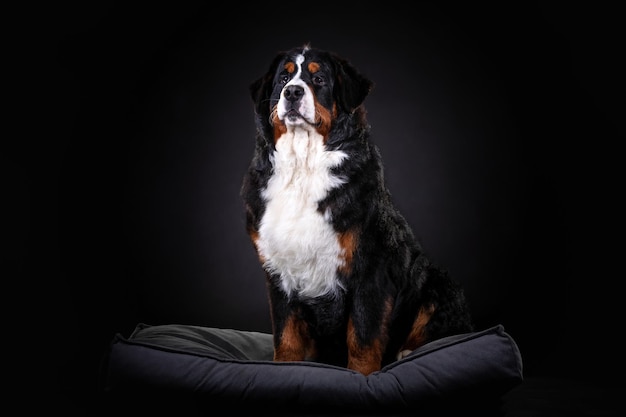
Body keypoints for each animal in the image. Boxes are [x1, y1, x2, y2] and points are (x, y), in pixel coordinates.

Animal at [240, 44, 472, 376]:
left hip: (436, 279)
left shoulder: (371, 267)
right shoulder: (278, 271)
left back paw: (407, 352)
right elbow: (286, 336)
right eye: (283, 78)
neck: (303, 166)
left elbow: (363, 335)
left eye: (319, 79)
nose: (292, 92)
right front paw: (284, 369)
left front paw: (363, 376)